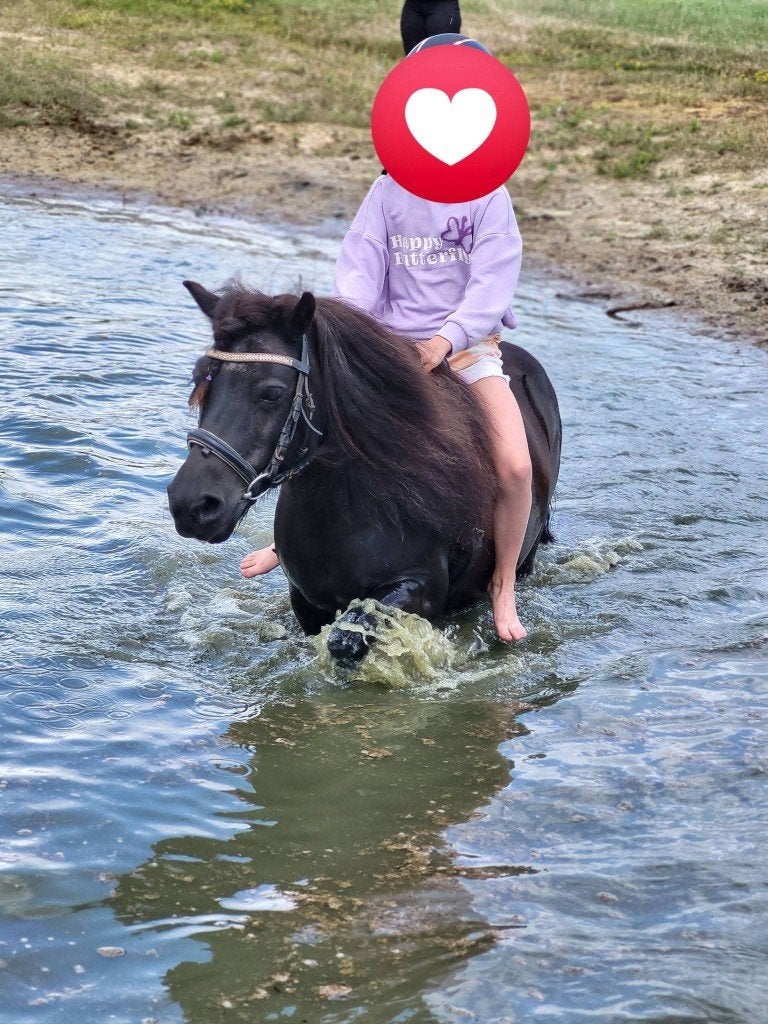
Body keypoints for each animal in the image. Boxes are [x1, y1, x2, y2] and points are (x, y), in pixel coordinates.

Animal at [167, 282, 562, 663]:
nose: (191, 505)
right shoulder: (308, 601)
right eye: (200, 378)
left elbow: (346, 639)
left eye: (272, 393)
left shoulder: (419, 589)